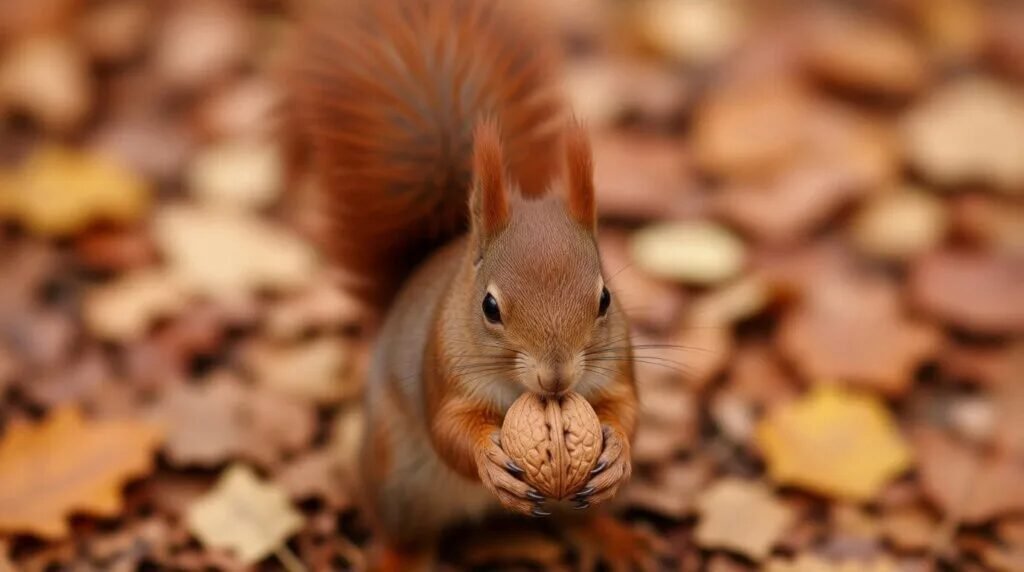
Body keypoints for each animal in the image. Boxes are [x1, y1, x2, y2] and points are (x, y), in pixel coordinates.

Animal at [285, 0, 642, 569]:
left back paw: (613, 537)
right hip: (398, 479)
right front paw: (486, 458)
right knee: (403, 533)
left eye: (605, 299)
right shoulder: (443, 370)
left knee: (580, 518)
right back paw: (396, 557)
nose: (557, 378)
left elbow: (626, 408)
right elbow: (449, 430)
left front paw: (619, 453)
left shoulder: (617, 366)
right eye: (489, 307)